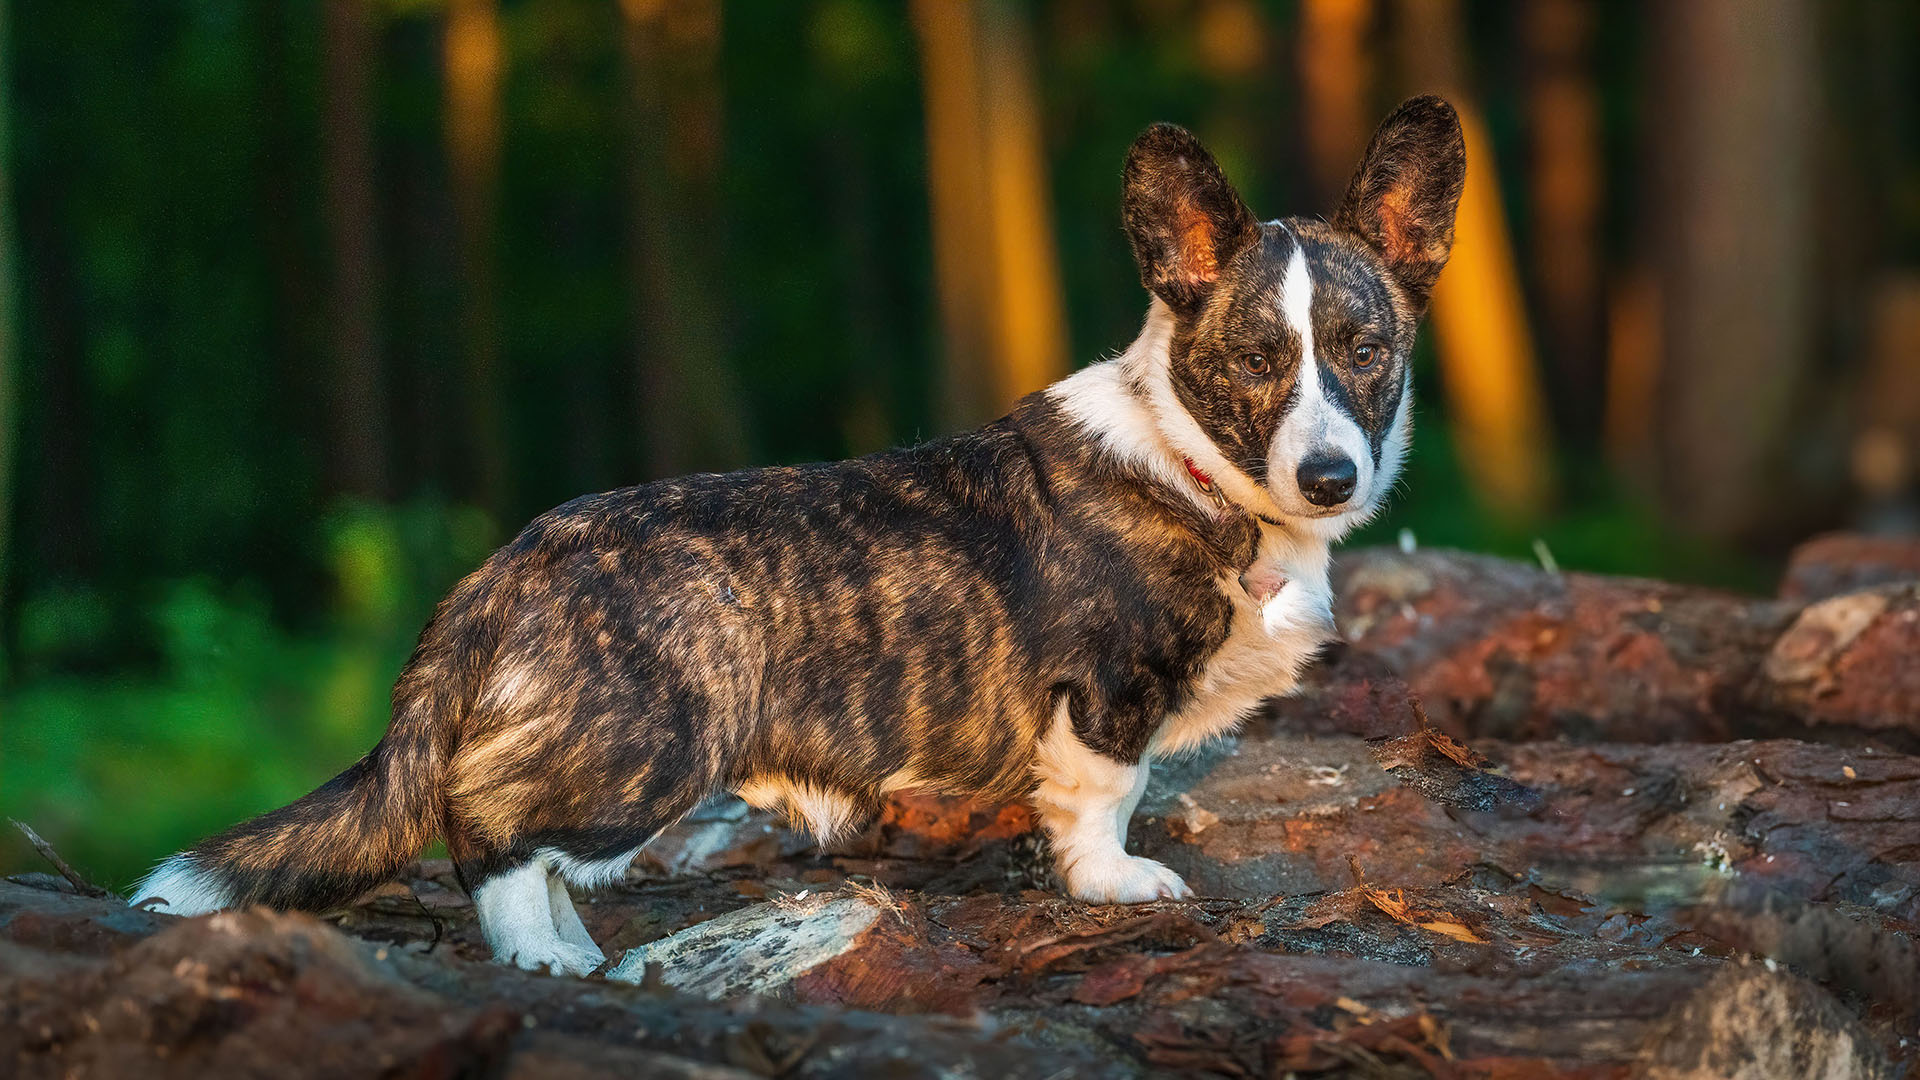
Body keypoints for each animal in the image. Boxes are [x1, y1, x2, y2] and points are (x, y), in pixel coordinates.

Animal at [131, 98, 1451, 976]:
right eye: (1256, 361)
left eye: (1365, 349)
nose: (1330, 476)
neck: (1197, 468)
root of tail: (504, 568)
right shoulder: (1104, 697)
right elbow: (1103, 800)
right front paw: (1117, 884)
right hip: (651, 747)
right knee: (493, 826)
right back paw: (542, 958)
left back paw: (573, 948)